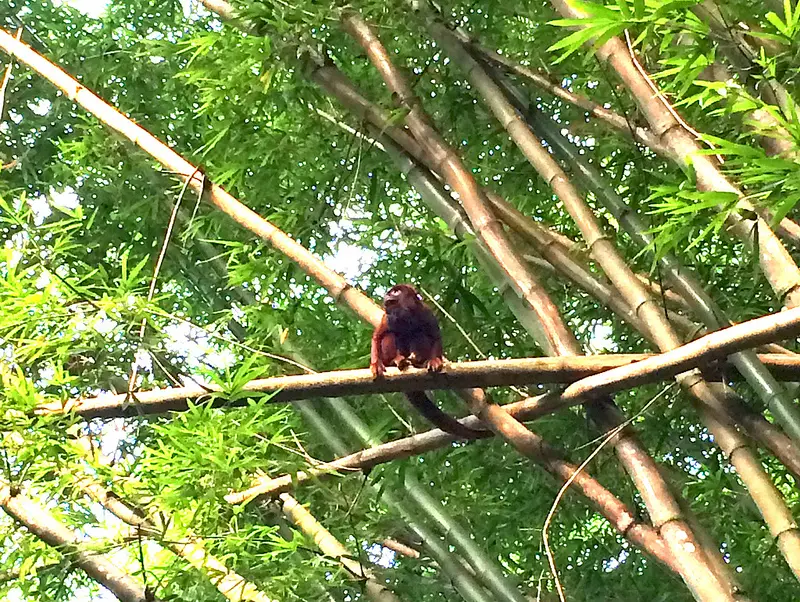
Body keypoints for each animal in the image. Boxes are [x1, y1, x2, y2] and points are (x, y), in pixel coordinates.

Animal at [372, 284, 484, 438]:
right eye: (390, 292)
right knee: (390, 335)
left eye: (396, 291)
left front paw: (435, 361)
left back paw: (417, 359)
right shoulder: (387, 317)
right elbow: (378, 336)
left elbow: (434, 335)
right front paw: (375, 365)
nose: (387, 295)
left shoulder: (426, 312)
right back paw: (397, 360)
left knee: (419, 334)